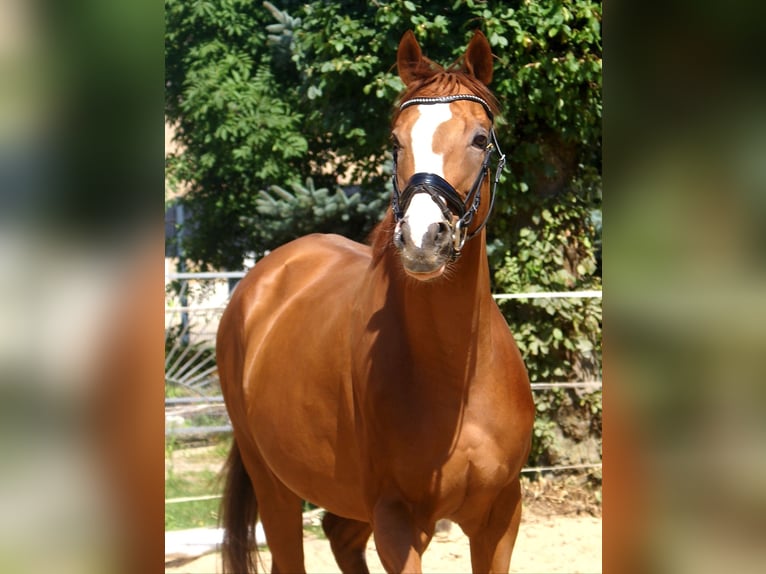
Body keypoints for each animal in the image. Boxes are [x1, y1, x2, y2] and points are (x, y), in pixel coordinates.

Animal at [217, 30, 535, 573]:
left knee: (338, 535)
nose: (423, 239)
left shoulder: (501, 516)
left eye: (479, 139)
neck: (456, 380)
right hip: (275, 486)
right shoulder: (395, 522)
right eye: (395, 141)